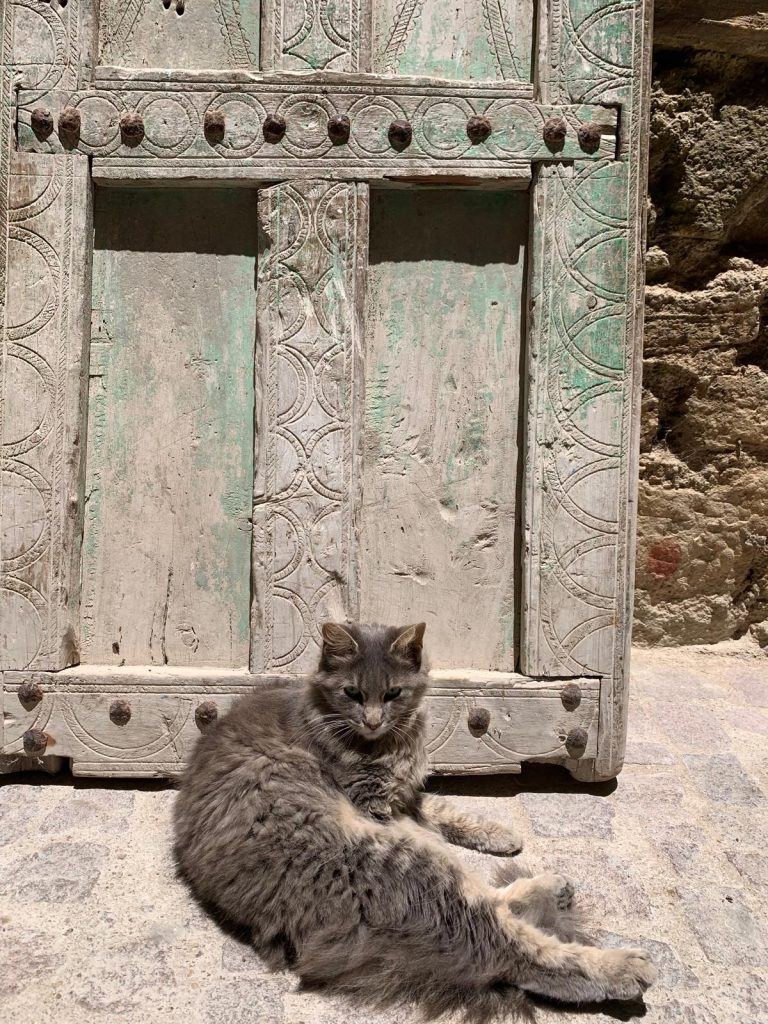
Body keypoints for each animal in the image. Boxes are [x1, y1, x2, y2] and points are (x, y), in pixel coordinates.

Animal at [174, 618, 655, 1019]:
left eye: (393, 694)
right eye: (352, 694)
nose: (372, 720)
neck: (389, 742)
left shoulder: (405, 795)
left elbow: (445, 811)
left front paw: (497, 832)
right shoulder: (375, 805)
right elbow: (433, 824)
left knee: (491, 902)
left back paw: (553, 888)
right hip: (404, 861)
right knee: (506, 942)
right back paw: (622, 967)